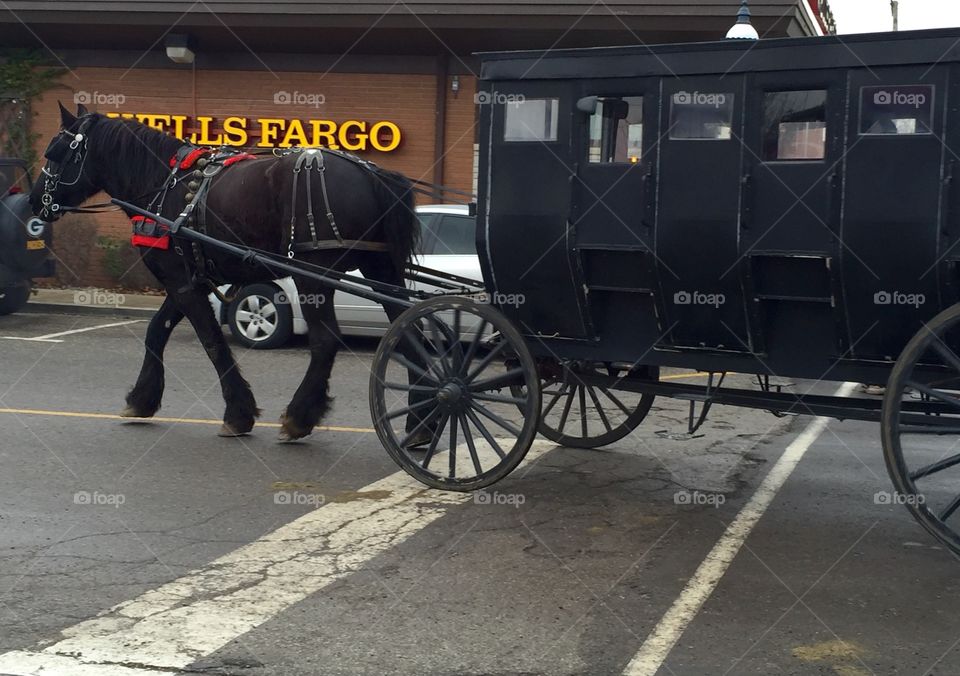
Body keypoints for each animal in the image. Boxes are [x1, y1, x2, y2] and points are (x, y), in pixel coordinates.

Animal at [30, 104, 418, 444]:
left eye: (55, 152)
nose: (35, 201)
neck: (165, 184)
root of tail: (372, 174)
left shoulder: (182, 283)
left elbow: (212, 342)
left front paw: (237, 414)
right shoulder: (190, 279)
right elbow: (157, 331)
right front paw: (142, 399)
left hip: (313, 273)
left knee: (325, 341)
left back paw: (299, 416)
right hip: (381, 268)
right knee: (410, 333)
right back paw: (418, 425)